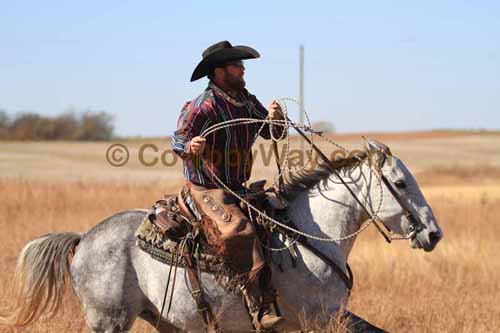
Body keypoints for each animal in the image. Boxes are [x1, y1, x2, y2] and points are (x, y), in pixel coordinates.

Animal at [1, 140, 444, 332]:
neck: (309, 236)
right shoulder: (316, 320)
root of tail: (84, 237)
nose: (434, 233)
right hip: (109, 321)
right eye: (400, 183)